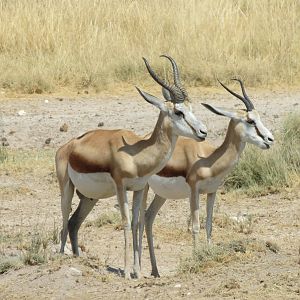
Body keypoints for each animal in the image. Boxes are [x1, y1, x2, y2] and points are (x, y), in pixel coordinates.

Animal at [54, 55, 209, 280]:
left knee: (74, 222)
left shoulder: (138, 188)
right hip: (67, 189)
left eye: (191, 109)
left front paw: (138, 271)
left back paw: (77, 257)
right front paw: (127, 272)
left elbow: (137, 222)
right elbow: (126, 222)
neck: (136, 154)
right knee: (65, 216)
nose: (203, 132)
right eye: (178, 112)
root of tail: (66, 147)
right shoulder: (121, 187)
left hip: (90, 198)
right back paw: (62, 256)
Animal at [142, 79, 276, 276]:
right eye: (250, 120)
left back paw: (155, 271)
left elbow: (209, 224)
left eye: (258, 117)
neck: (208, 159)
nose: (270, 139)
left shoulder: (212, 192)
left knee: (148, 216)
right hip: (144, 188)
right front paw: (196, 259)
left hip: (162, 195)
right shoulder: (194, 191)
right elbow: (195, 226)